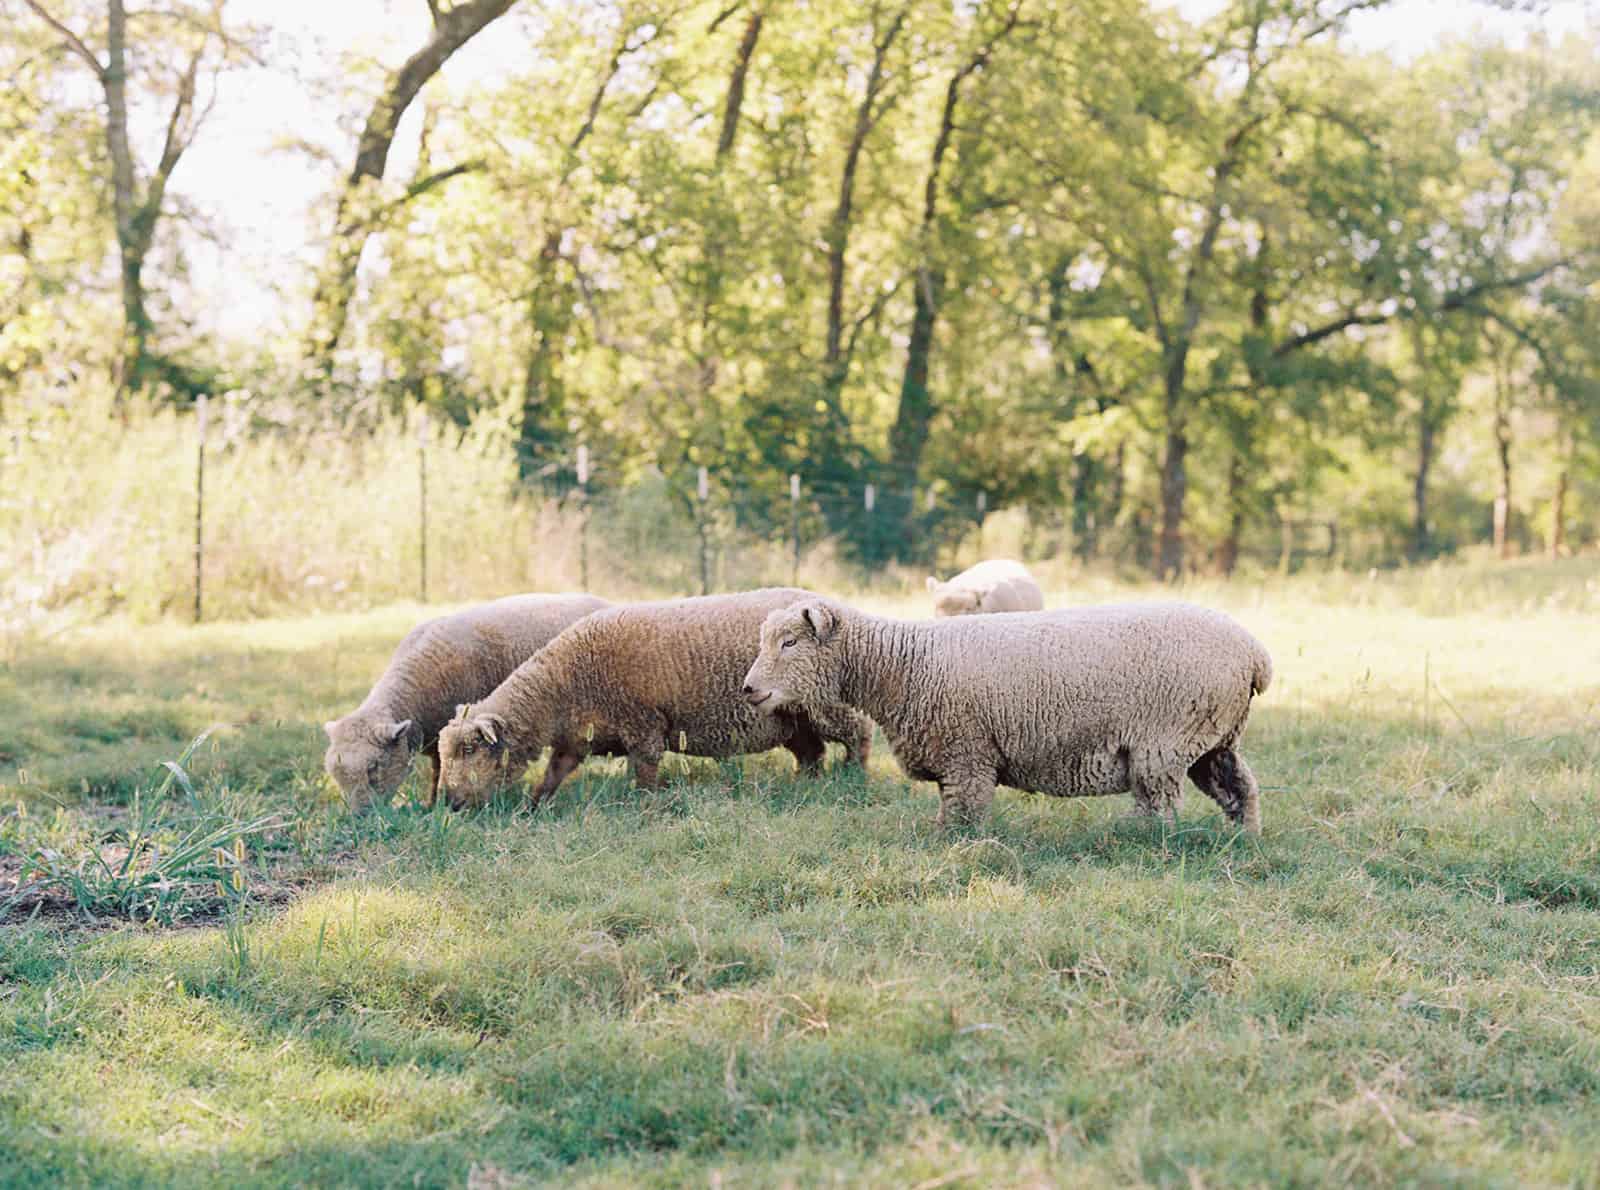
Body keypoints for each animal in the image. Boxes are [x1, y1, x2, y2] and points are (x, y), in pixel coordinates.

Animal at [321, 591, 608, 809]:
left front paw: (437, 805)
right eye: (335, 774)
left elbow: (443, 771)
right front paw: (431, 805)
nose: (361, 817)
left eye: (374, 766)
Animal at [435, 588, 876, 809]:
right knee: (812, 753)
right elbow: (552, 775)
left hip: (823, 705)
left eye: (472, 750)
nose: (450, 804)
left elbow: (645, 771)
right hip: (789, 717)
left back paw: (853, 777)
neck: (563, 684)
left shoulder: (642, 724)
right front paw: (534, 807)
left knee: (858, 734)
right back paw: (806, 787)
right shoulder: (576, 739)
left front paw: (646, 807)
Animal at [739, 598, 1273, 831]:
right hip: (1214, 737)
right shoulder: (955, 759)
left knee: (1158, 805)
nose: (748, 689)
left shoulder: (967, 756)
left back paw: (1138, 842)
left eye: (790, 643)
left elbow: (963, 816)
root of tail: (1254, 653)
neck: (904, 667)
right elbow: (951, 811)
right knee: (1238, 786)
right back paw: (1242, 839)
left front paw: (959, 854)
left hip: (1165, 740)